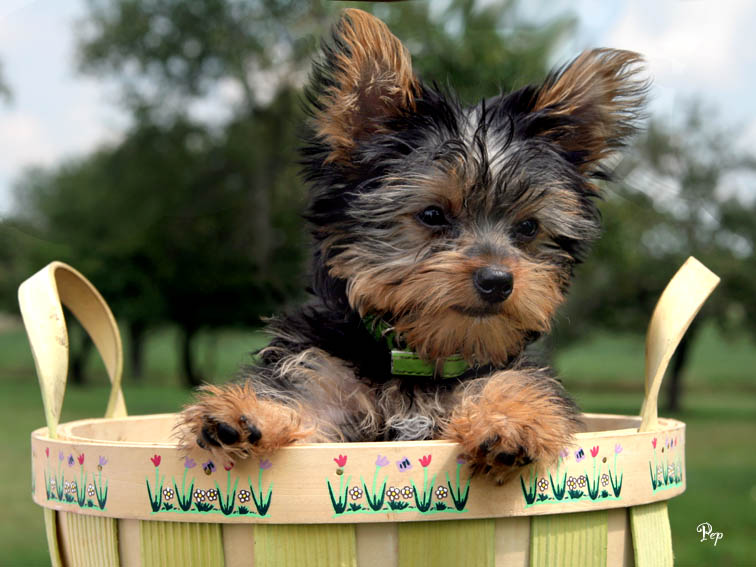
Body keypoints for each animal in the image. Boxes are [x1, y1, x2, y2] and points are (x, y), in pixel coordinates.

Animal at [176, 7, 644, 484]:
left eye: (529, 227)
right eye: (433, 215)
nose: (497, 280)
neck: (419, 358)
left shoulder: (500, 372)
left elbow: (516, 384)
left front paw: (510, 421)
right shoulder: (322, 375)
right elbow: (299, 399)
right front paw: (249, 413)